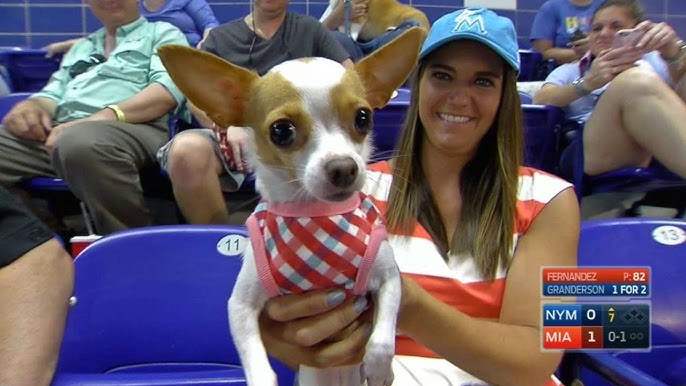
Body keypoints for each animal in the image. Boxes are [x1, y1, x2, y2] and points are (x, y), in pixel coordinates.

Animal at [159, 27, 424, 386]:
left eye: (363, 118)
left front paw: (381, 369)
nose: (344, 168)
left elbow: (383, 338)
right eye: (281, 131)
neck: (314, 212)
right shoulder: (240, 306)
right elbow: (258, 365)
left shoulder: (388, 278)